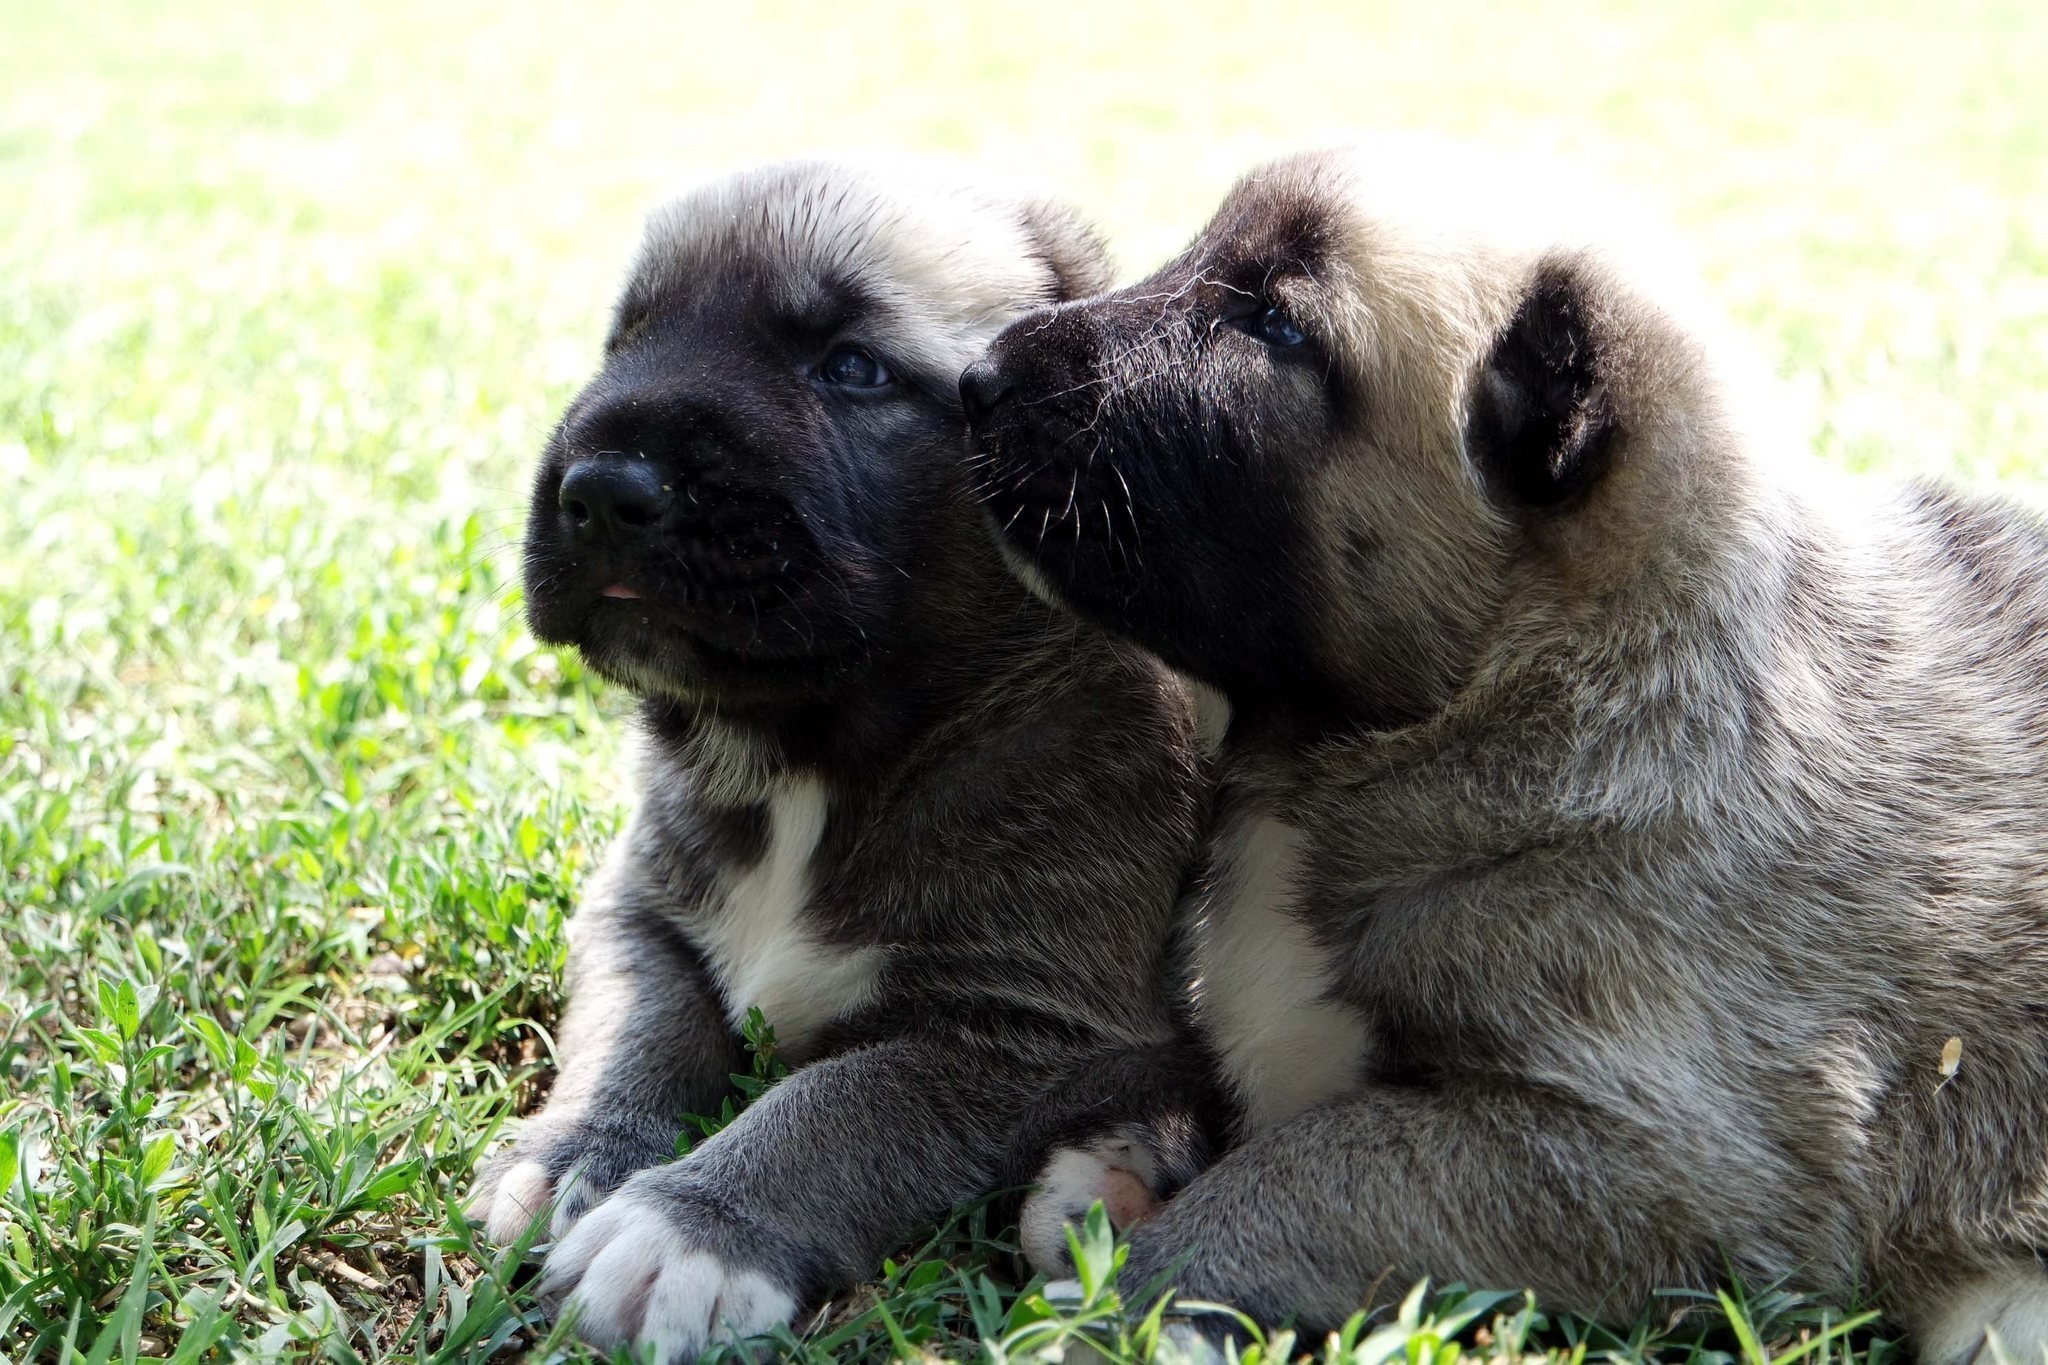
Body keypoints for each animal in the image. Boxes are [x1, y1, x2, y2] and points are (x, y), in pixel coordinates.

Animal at [468, 162, 1220, 1365]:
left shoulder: (1032, 1030)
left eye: (852, 368)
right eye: (625, 340)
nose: (603, 488)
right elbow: (631, 1029)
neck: (806, 755)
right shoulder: (637, 911)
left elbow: (846, 1100)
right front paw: (573, 1153)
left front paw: (693, 1227)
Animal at [966, 144, 2048, 1358]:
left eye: (1277, 325)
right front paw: (1115, 1184)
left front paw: (1138, 1302)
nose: (976, 377)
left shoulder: (1637, 1160)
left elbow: (1309, 1169)